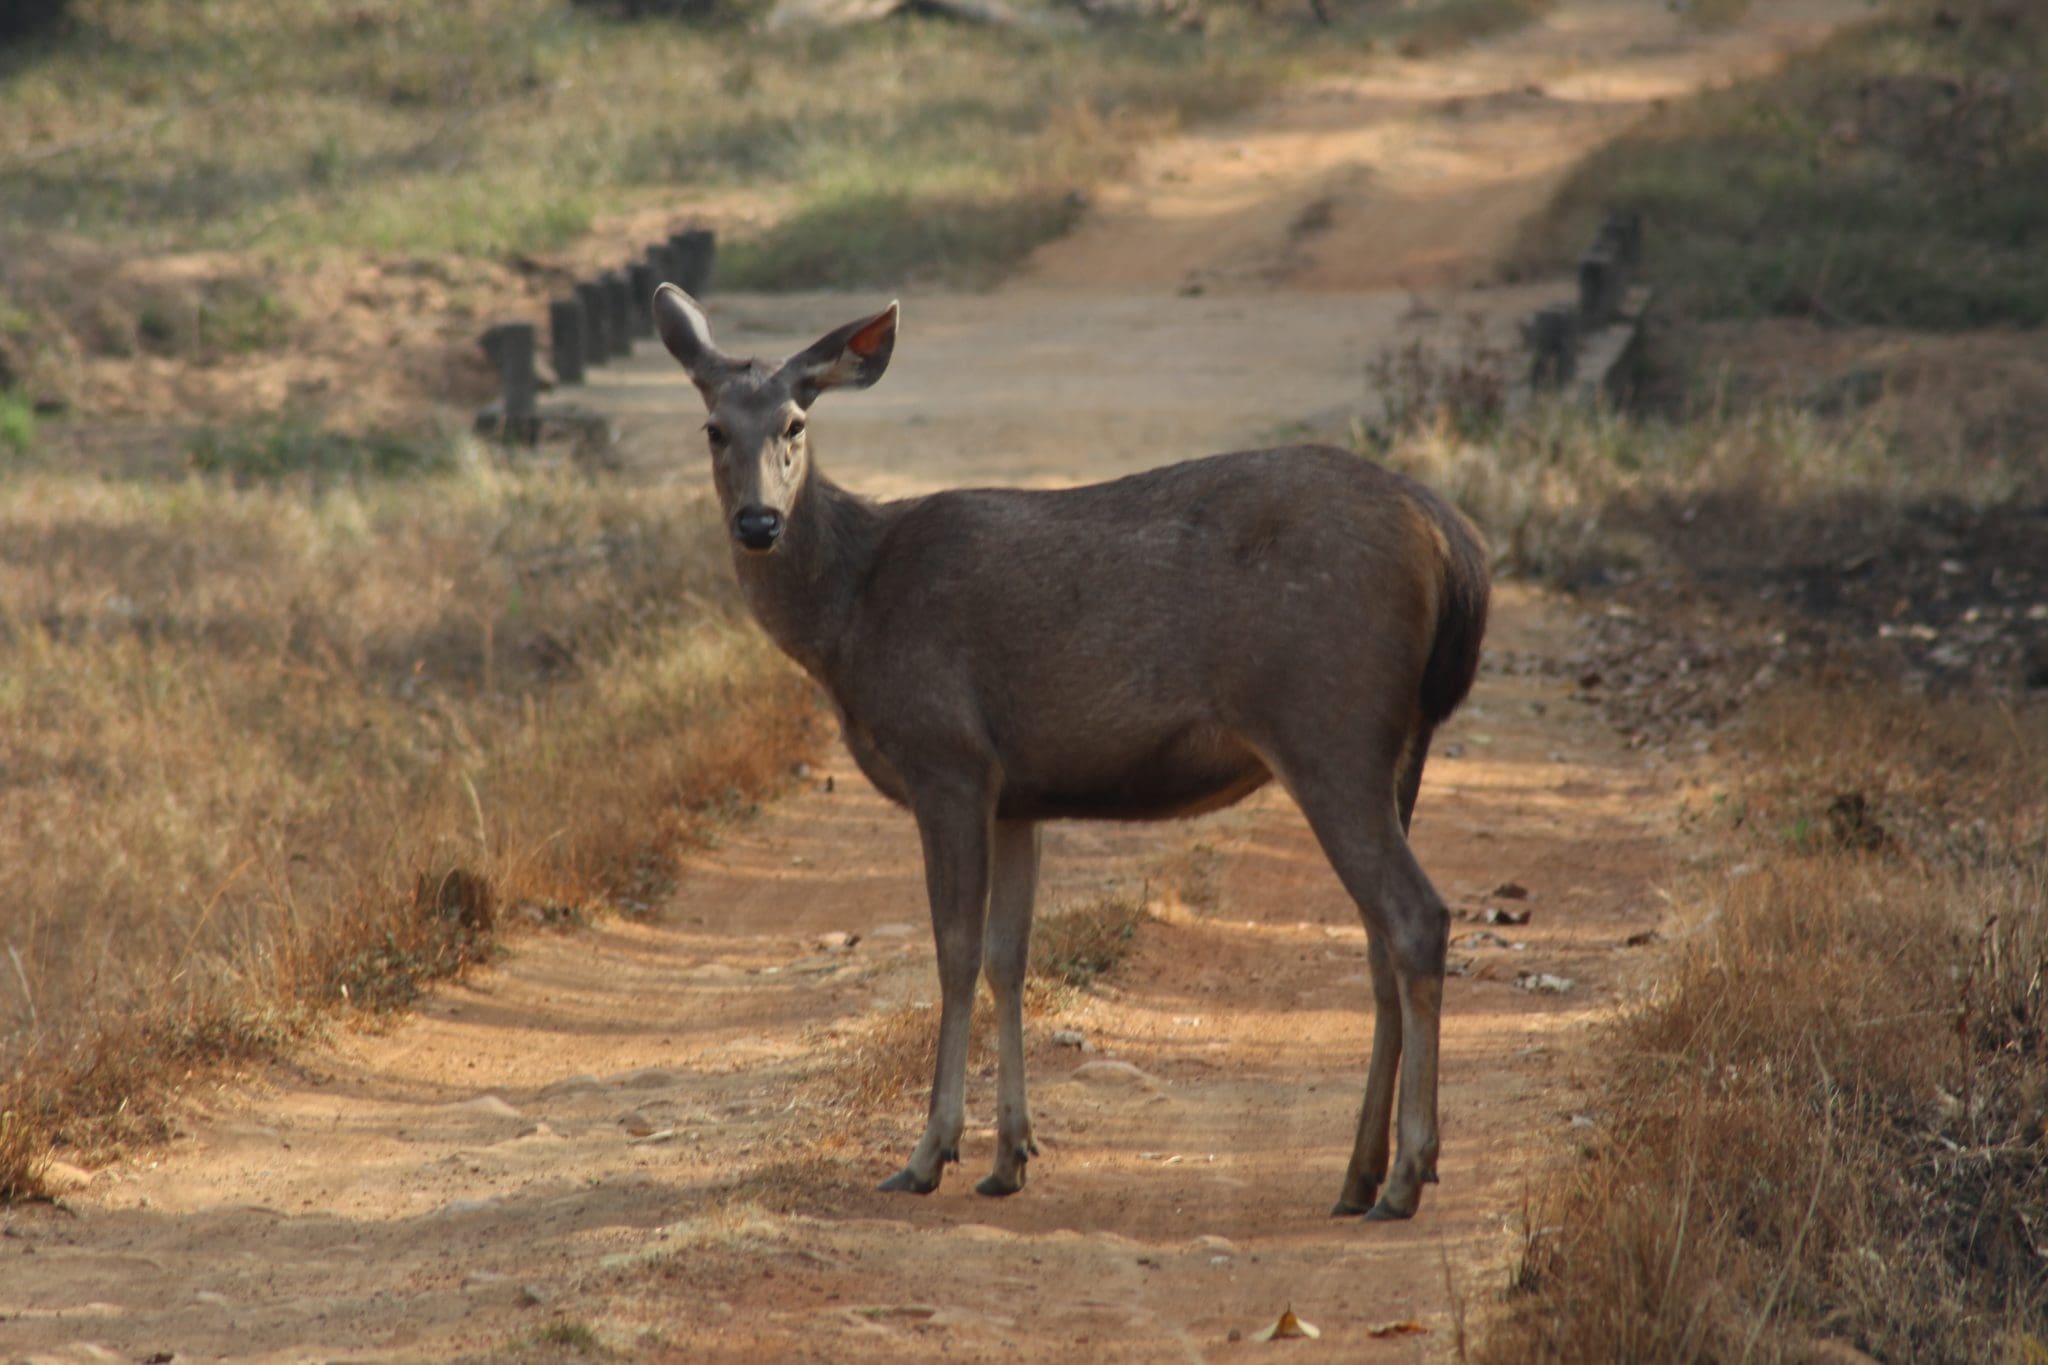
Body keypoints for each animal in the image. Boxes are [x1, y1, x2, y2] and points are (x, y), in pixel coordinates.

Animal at [655, 286, 1490, 1219]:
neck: (850, 618)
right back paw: (1359, 1172)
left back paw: (1408, 1170)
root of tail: (1453, 544)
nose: (758, 521)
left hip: (1328, 723)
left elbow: (953, 950)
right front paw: (1010, 1154)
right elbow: (1008, 957)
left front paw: (929, 1152)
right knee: (1382, 942)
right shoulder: (1018, 794)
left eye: (795, 422)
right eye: (713, 428)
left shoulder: (948, 756)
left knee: (1416, 915)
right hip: (1400, 743)